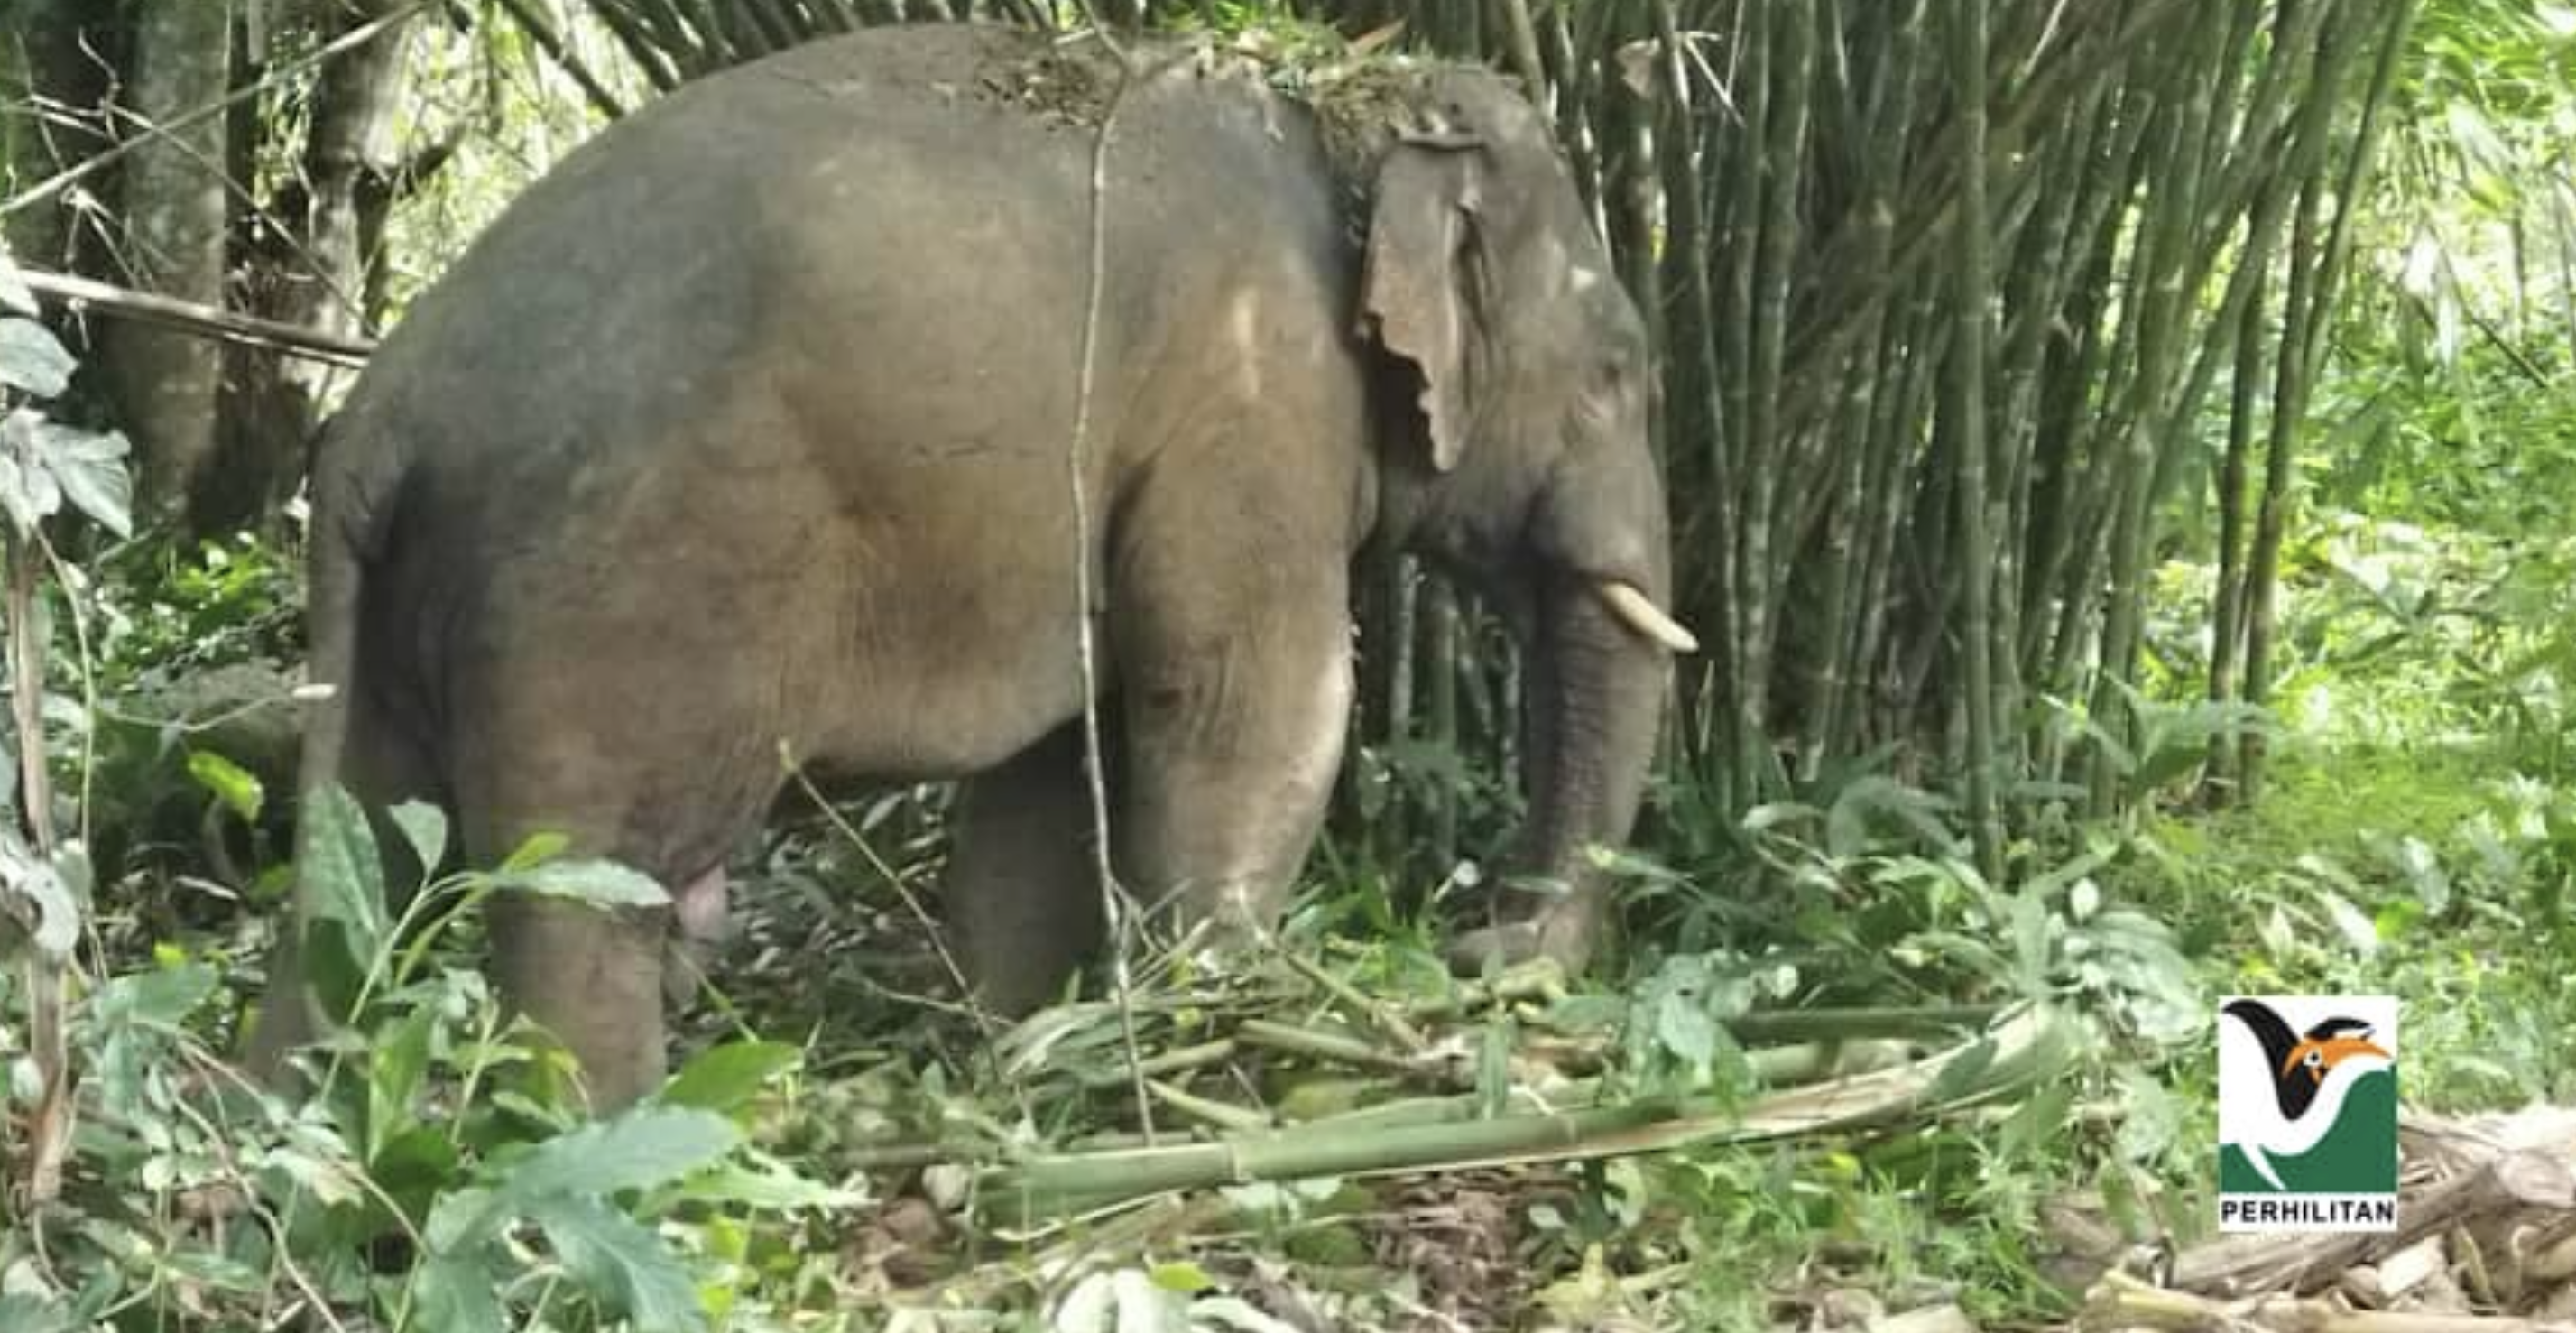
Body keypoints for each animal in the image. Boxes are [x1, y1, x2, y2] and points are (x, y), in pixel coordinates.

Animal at [251, 21, 1700, 1108]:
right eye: (1617, 371)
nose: (1480, 942)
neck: (1346, 108)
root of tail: (380, 414)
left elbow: (1051, 769)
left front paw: (1021, 1046)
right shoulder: (1254, 395)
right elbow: (1246, 701)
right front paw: (1222, 1016)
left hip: (395, 620)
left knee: (361, 879)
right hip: (604, 597)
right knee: (573, 900)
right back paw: (605, 1142)